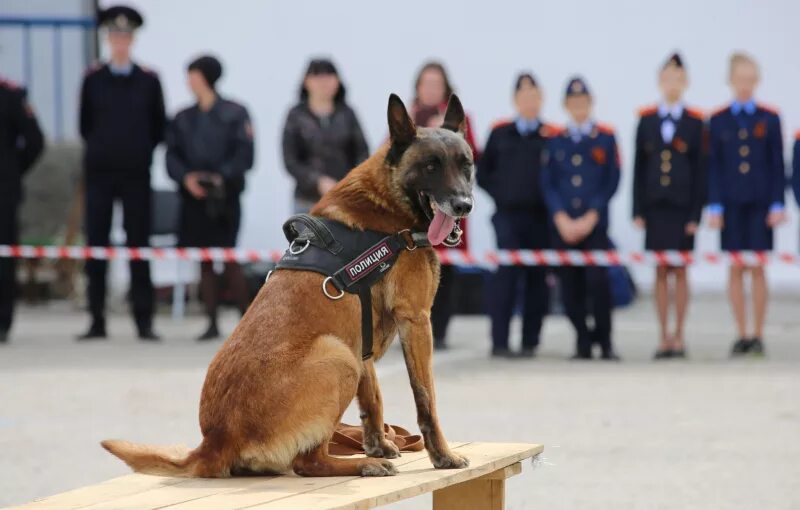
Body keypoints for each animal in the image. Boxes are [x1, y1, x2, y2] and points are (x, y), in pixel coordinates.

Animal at [100, 92, 476, 478]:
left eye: (466, 165)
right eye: (431, 166)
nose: (464, 205)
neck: (389, 202)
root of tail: (216, 441)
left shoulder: (362, 337)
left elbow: (373, 397)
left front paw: (378, 443)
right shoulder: (416, 321)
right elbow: (426, 397)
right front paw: (441, 455)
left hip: (346, 350)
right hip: (338, 355)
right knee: (308, 462)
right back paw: (363, 465)